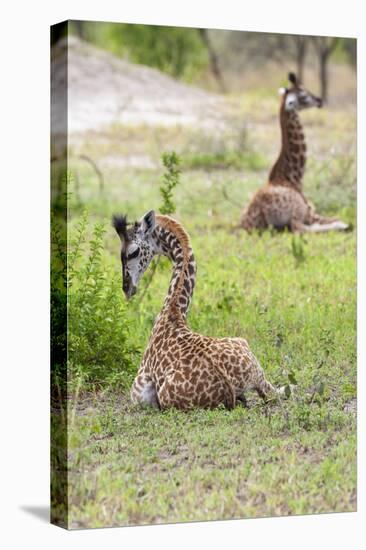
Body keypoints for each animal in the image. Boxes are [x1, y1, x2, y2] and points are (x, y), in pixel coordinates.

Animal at [111, 211, 280, 410]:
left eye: (133, 252)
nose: (127, 288)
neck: (173, 311)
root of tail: (230, 387)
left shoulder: (139, 387)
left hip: (167, 398)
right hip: (255, 364)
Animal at [240, 72, 348, 234]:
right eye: (303, 95)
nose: (320, 100)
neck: (293, 177)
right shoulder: (309, 212)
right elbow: (335, 218)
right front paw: (342, 224)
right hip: (297, 211)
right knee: (300, 228)